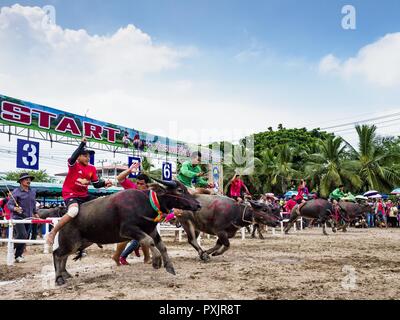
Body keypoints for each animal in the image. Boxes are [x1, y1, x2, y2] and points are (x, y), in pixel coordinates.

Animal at [53, 179, 202, 286]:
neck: (146, 202)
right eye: (179, 190)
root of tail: (64, 218)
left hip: (81, 243)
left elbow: (162, 246)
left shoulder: (151, 230)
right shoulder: (128, 229)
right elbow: (149, 241)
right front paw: (156, 261)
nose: (198, 205)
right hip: (71, 243)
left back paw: (65, 274)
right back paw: (59, 278)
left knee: (63, 256)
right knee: (57, 254)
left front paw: (169, 266)